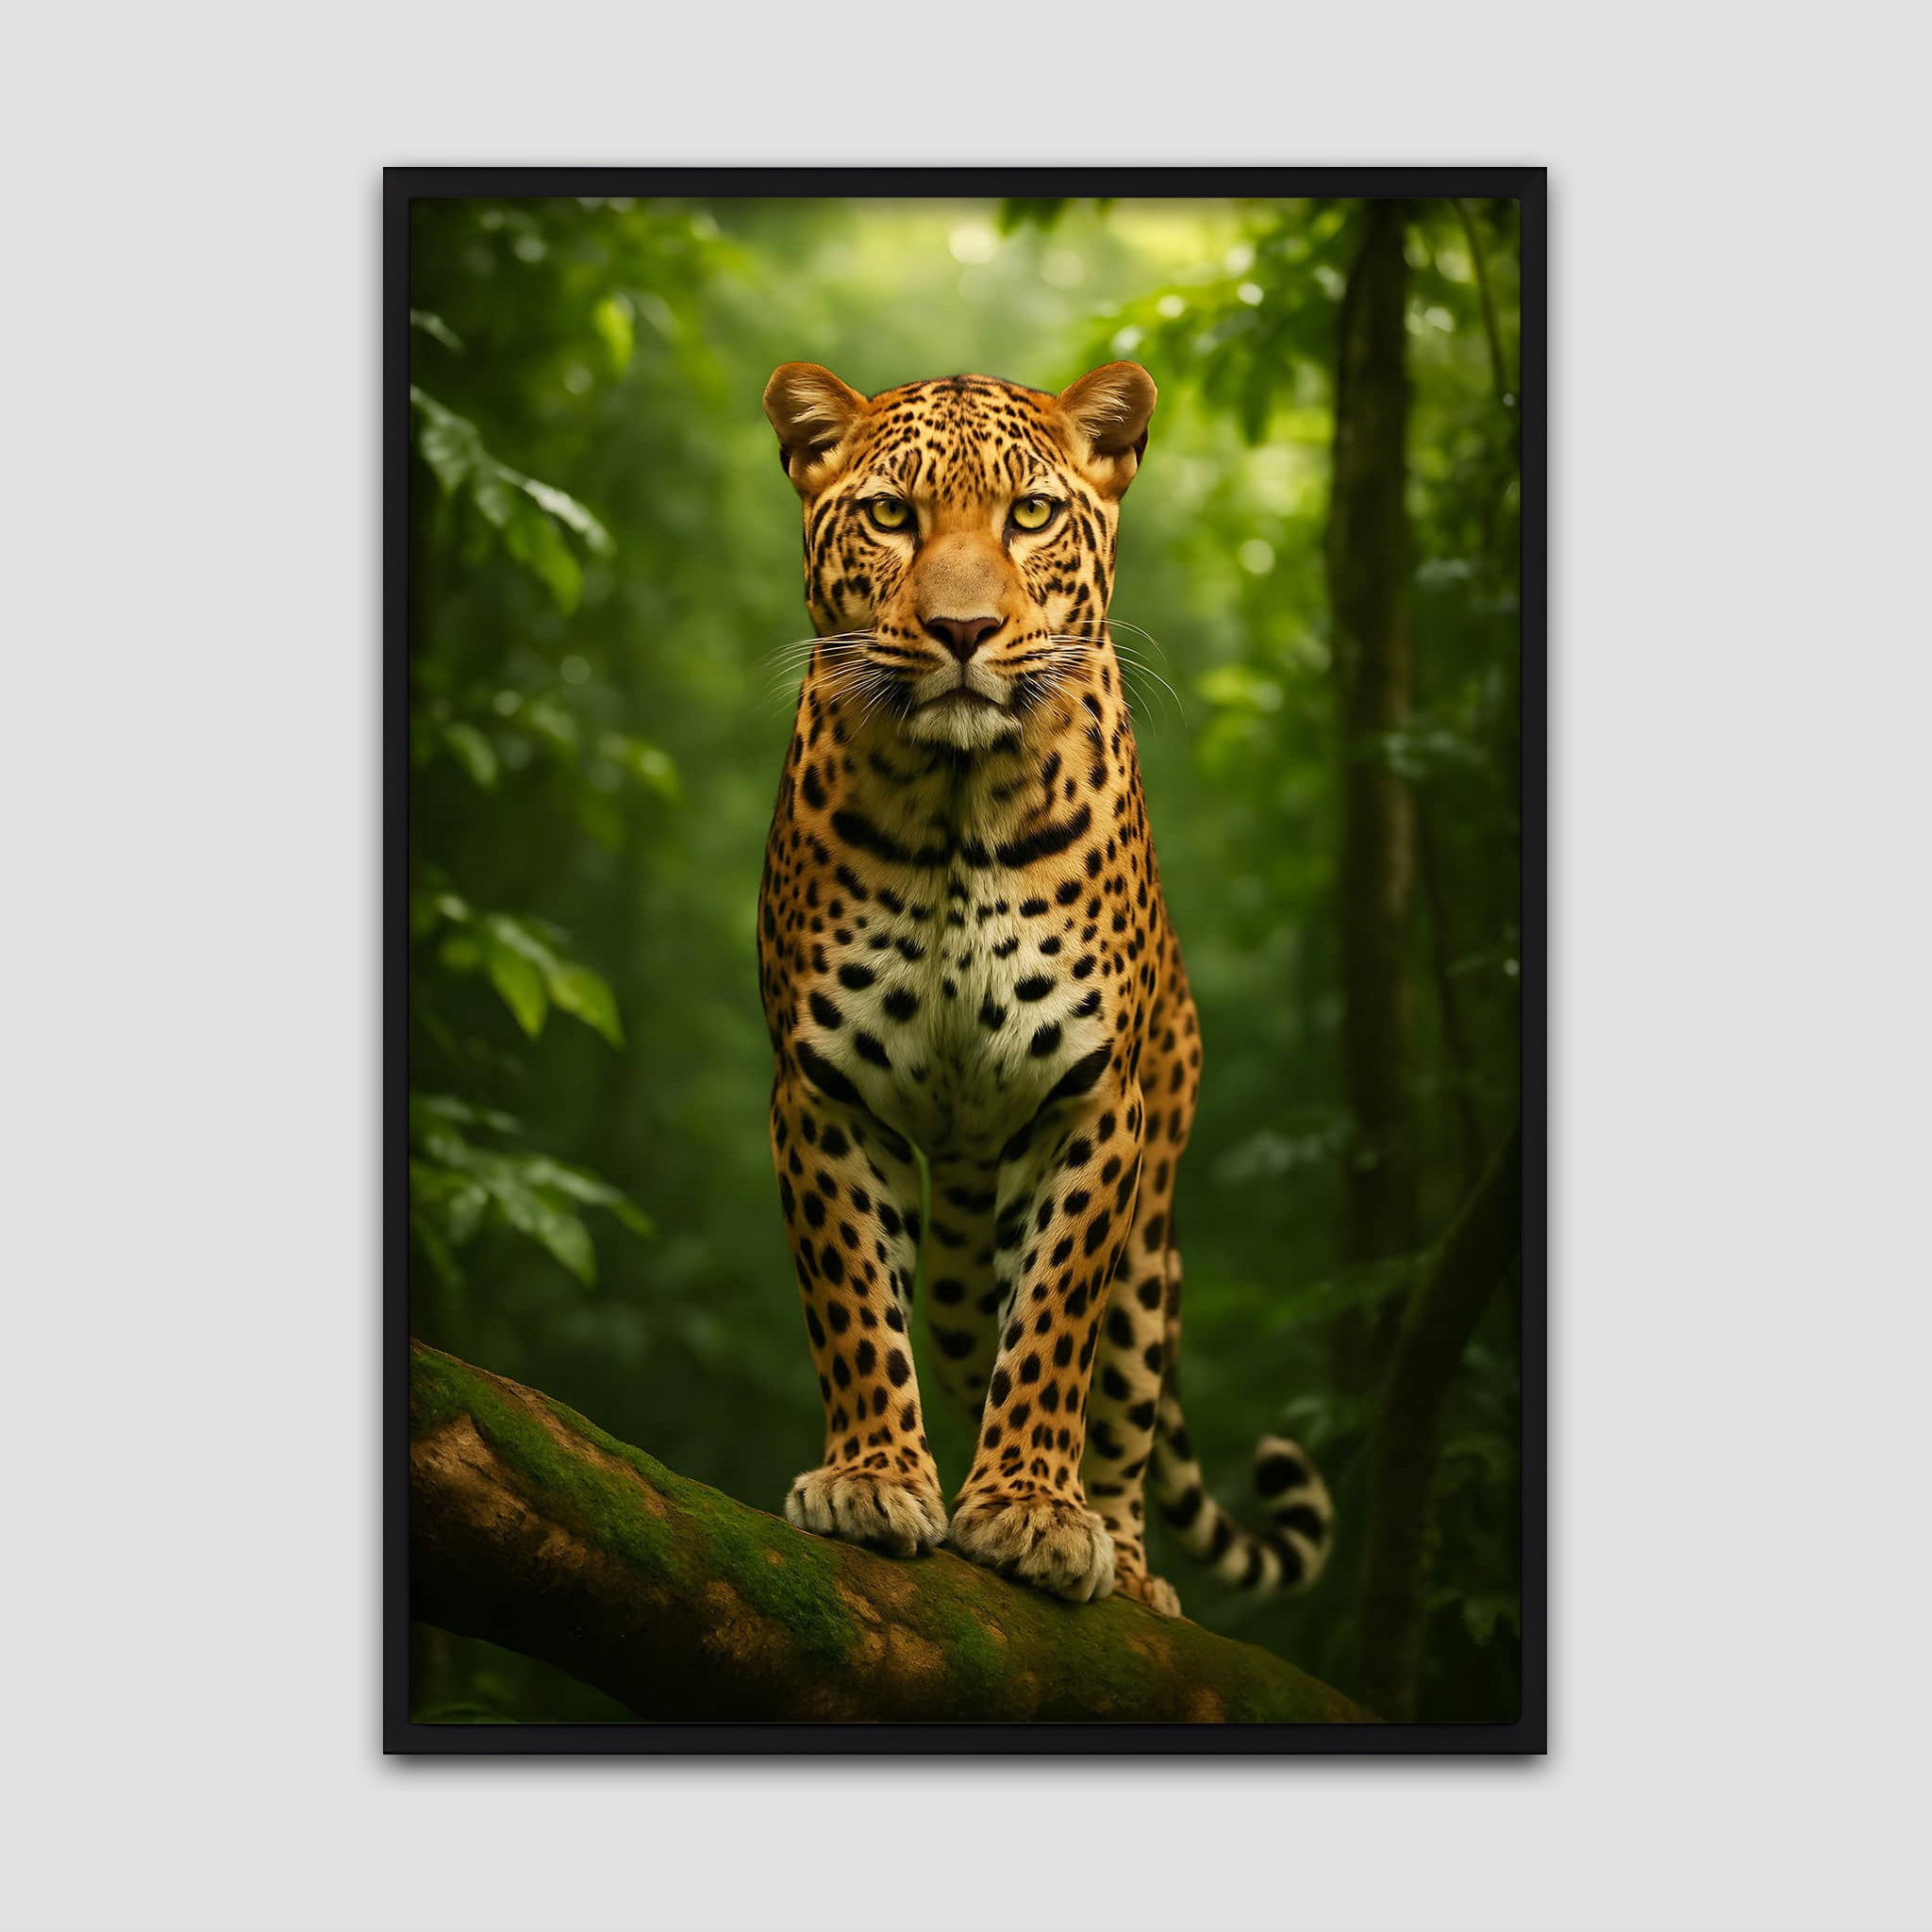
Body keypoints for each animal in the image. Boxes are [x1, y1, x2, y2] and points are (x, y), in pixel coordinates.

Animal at [757, 359, 1335, 1616]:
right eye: (891, 515)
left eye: (1028, 514)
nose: (962, 630)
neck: (953, 801)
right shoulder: (822, 1091)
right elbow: (854, 1304)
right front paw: (874, 1479)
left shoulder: (1090, 1098)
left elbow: (1056, 1322)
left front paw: (1029, 1509)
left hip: (1152, 1243)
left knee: (1121, 1401)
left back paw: (1126, 1560)